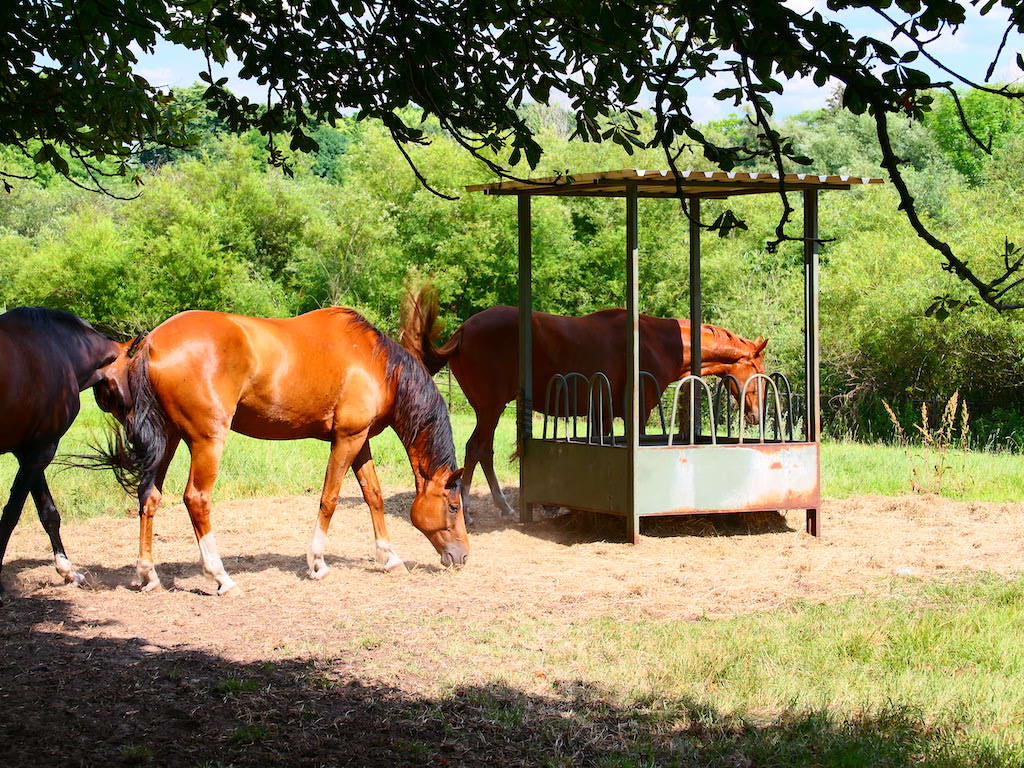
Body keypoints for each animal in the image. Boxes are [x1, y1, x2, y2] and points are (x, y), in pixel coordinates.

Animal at [0, 309, 120, 593]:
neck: (60, 350)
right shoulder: (42, 451)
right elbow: (11, 515)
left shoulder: (31, 452)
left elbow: (49, 513)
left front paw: (68, 571)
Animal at [92, 307, 468, 593]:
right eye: (453, 506)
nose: (463, 556)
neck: (376, 363)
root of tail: (151, 343)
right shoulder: (346, 438)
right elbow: (329, 498)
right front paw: (317, 563)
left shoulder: (359, 439)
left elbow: (373, 495)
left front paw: (390, 558)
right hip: (207, 441)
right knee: (196, 499)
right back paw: (221, 577)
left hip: (166, 440)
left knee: (149, 497)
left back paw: (149, 576)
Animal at [399, 286, 770, 520]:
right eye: (758, 371)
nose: (756, 415)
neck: (655, 342)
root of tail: (463, 332)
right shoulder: (637, 412)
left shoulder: (605, 413)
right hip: (490, 408)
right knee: (476, 449)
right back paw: (472, 511)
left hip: (489, 410)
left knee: (484, 451)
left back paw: (503, 507)